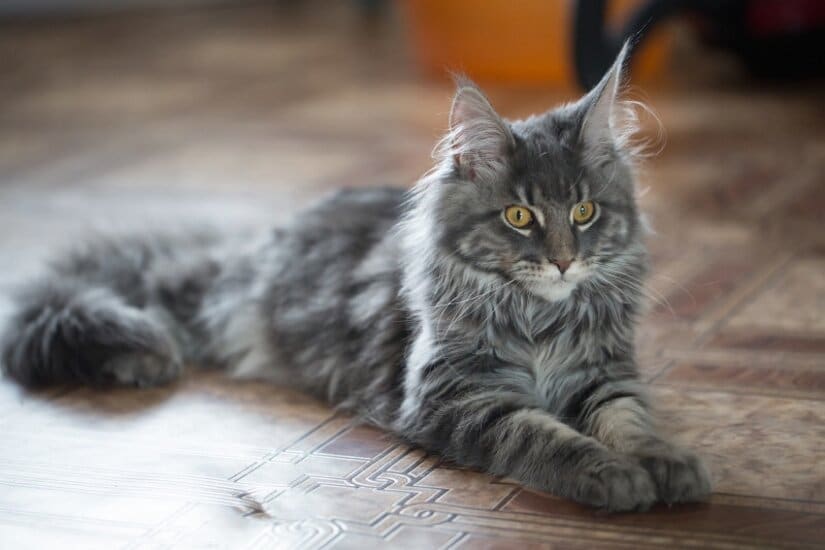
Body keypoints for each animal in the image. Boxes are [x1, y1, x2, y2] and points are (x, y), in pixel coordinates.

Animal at [1, 45, 708, 516]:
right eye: (520, 217)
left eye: (585, 212)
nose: (564, 261)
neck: (543, 320)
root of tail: (265, 240)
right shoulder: (461, 397)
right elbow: (547, 437)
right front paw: (613, 477)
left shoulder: (604, 374)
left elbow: (630, 422)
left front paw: (667, 465)